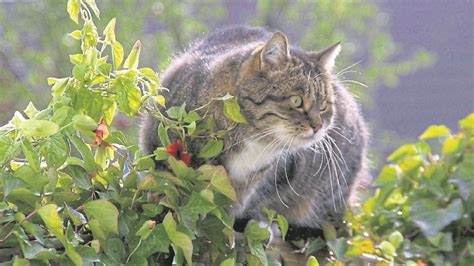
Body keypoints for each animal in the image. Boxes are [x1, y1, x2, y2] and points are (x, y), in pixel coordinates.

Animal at [140, 26, 370, 238]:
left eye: (323, 106)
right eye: (296, 101)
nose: (318, 126)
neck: (254, 143)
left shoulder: (259, 181)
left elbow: (231, 209)